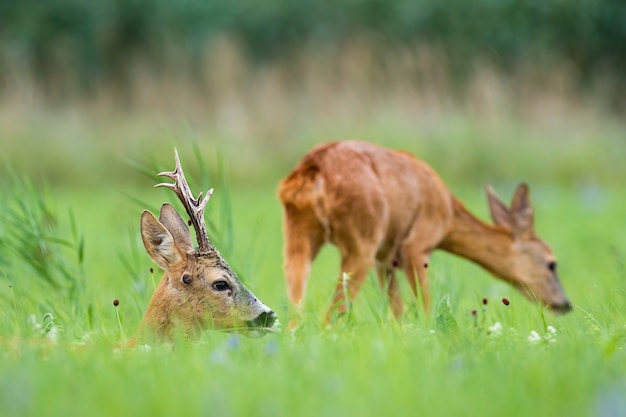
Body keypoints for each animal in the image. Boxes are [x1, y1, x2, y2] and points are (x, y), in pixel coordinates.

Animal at [278, 141, 572, 322]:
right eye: (552, 264)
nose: (565, 303)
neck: (448, 215)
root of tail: (311, 171)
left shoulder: (385, 257)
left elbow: (397, 312)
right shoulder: (416, 245)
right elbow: (425, 306)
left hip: (297, 235)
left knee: (296, 311)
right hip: (362, 238)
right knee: (330, 317)